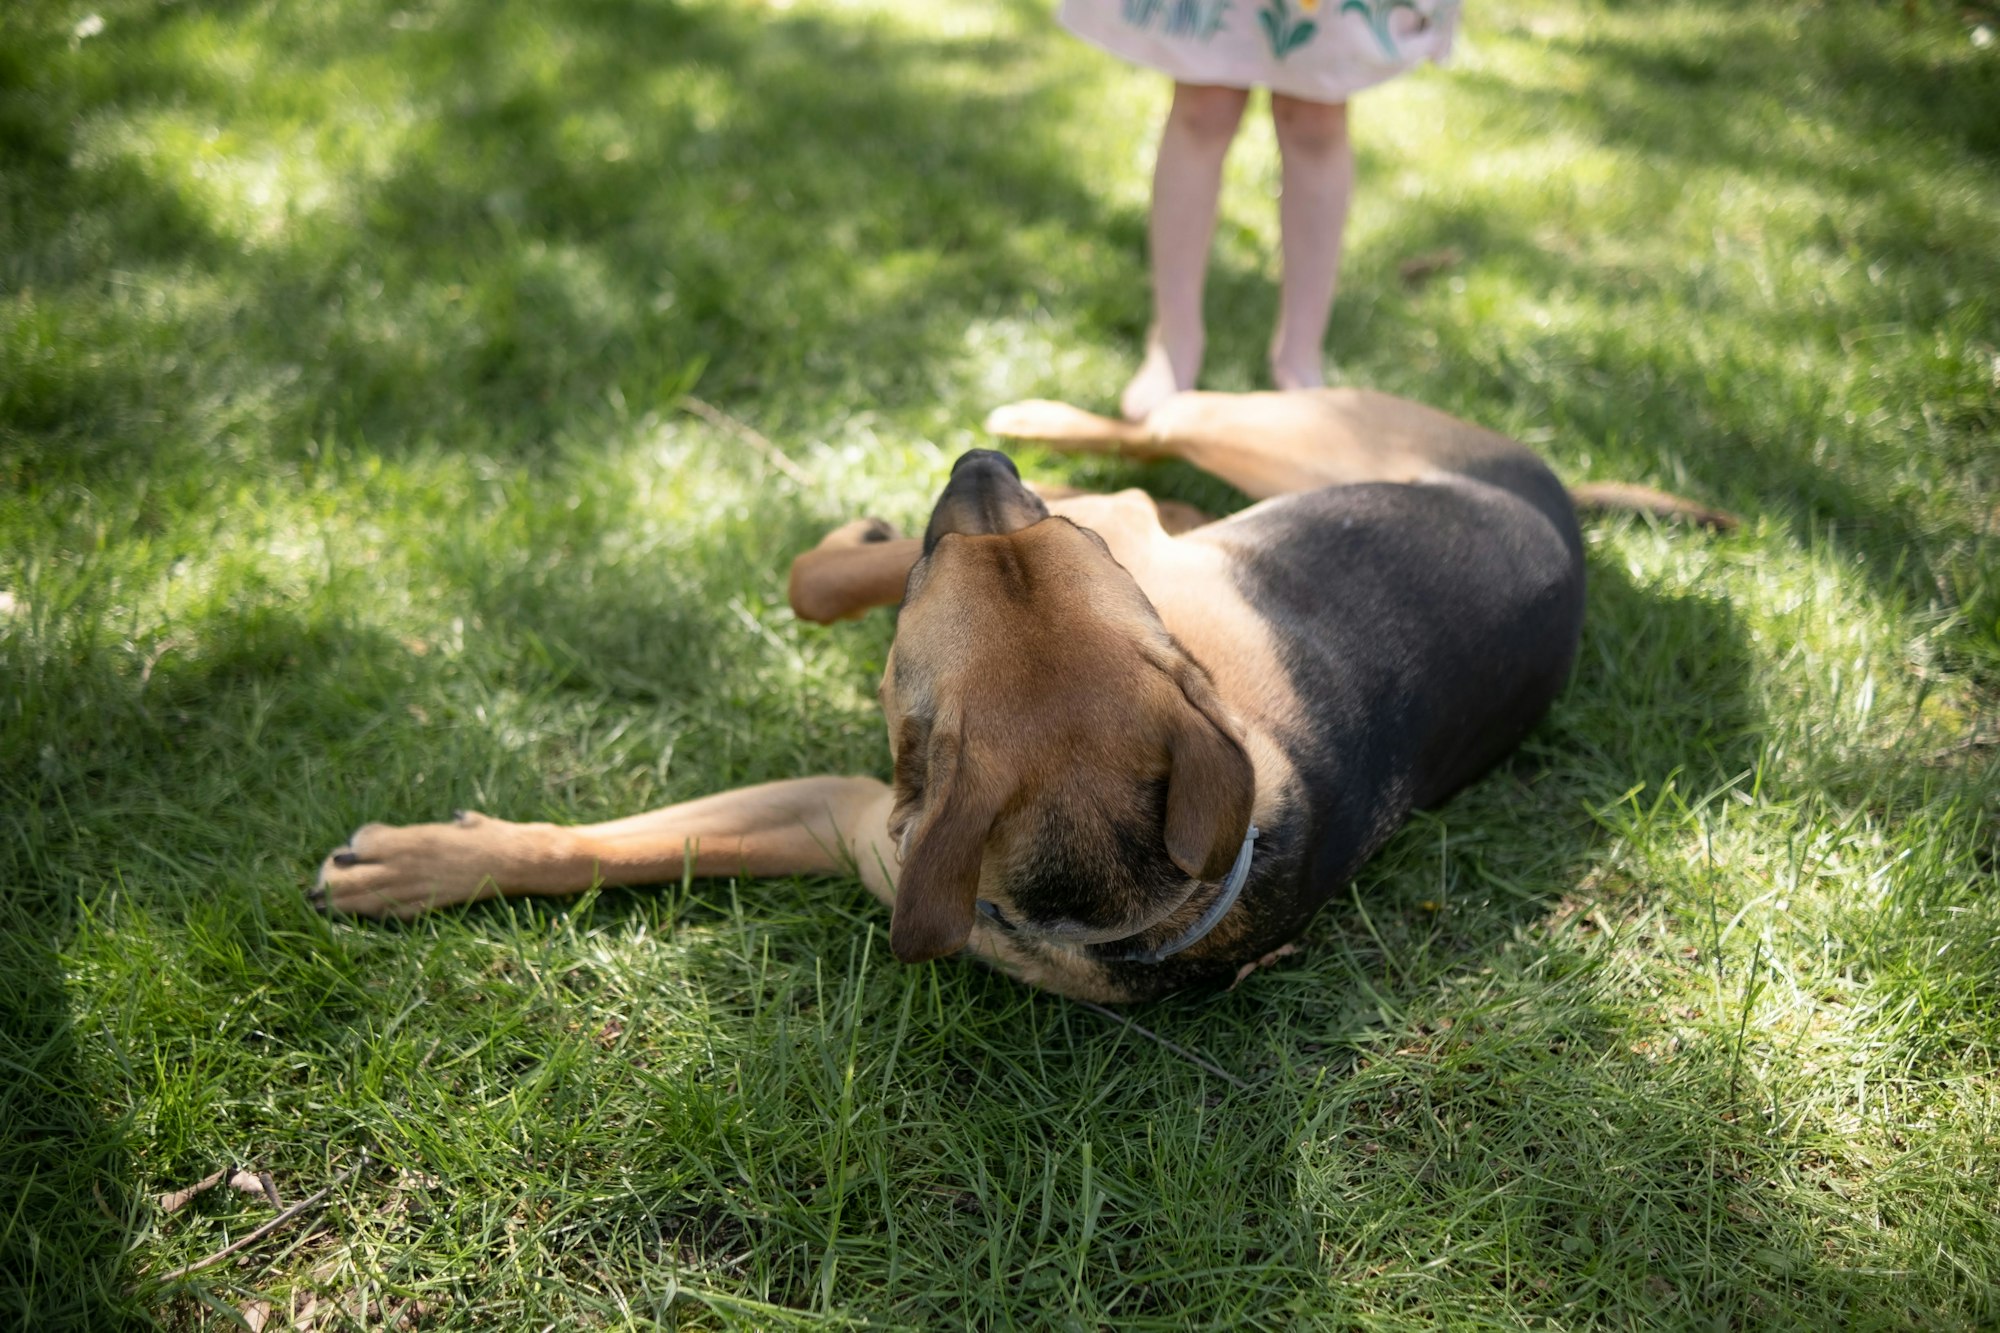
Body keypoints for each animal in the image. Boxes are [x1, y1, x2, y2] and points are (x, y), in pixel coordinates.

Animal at [312, 384, 1736, 996]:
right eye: (1046, 552)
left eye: (1008, 553)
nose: (980, 471)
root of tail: (1551, 490)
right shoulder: (844, 818)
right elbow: (604, 846)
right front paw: (425, 867)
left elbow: (829, 579)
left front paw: (858, 544)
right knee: (1152, 438)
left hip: (1261, 430)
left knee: (1156, 416)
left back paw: (1034, 402)